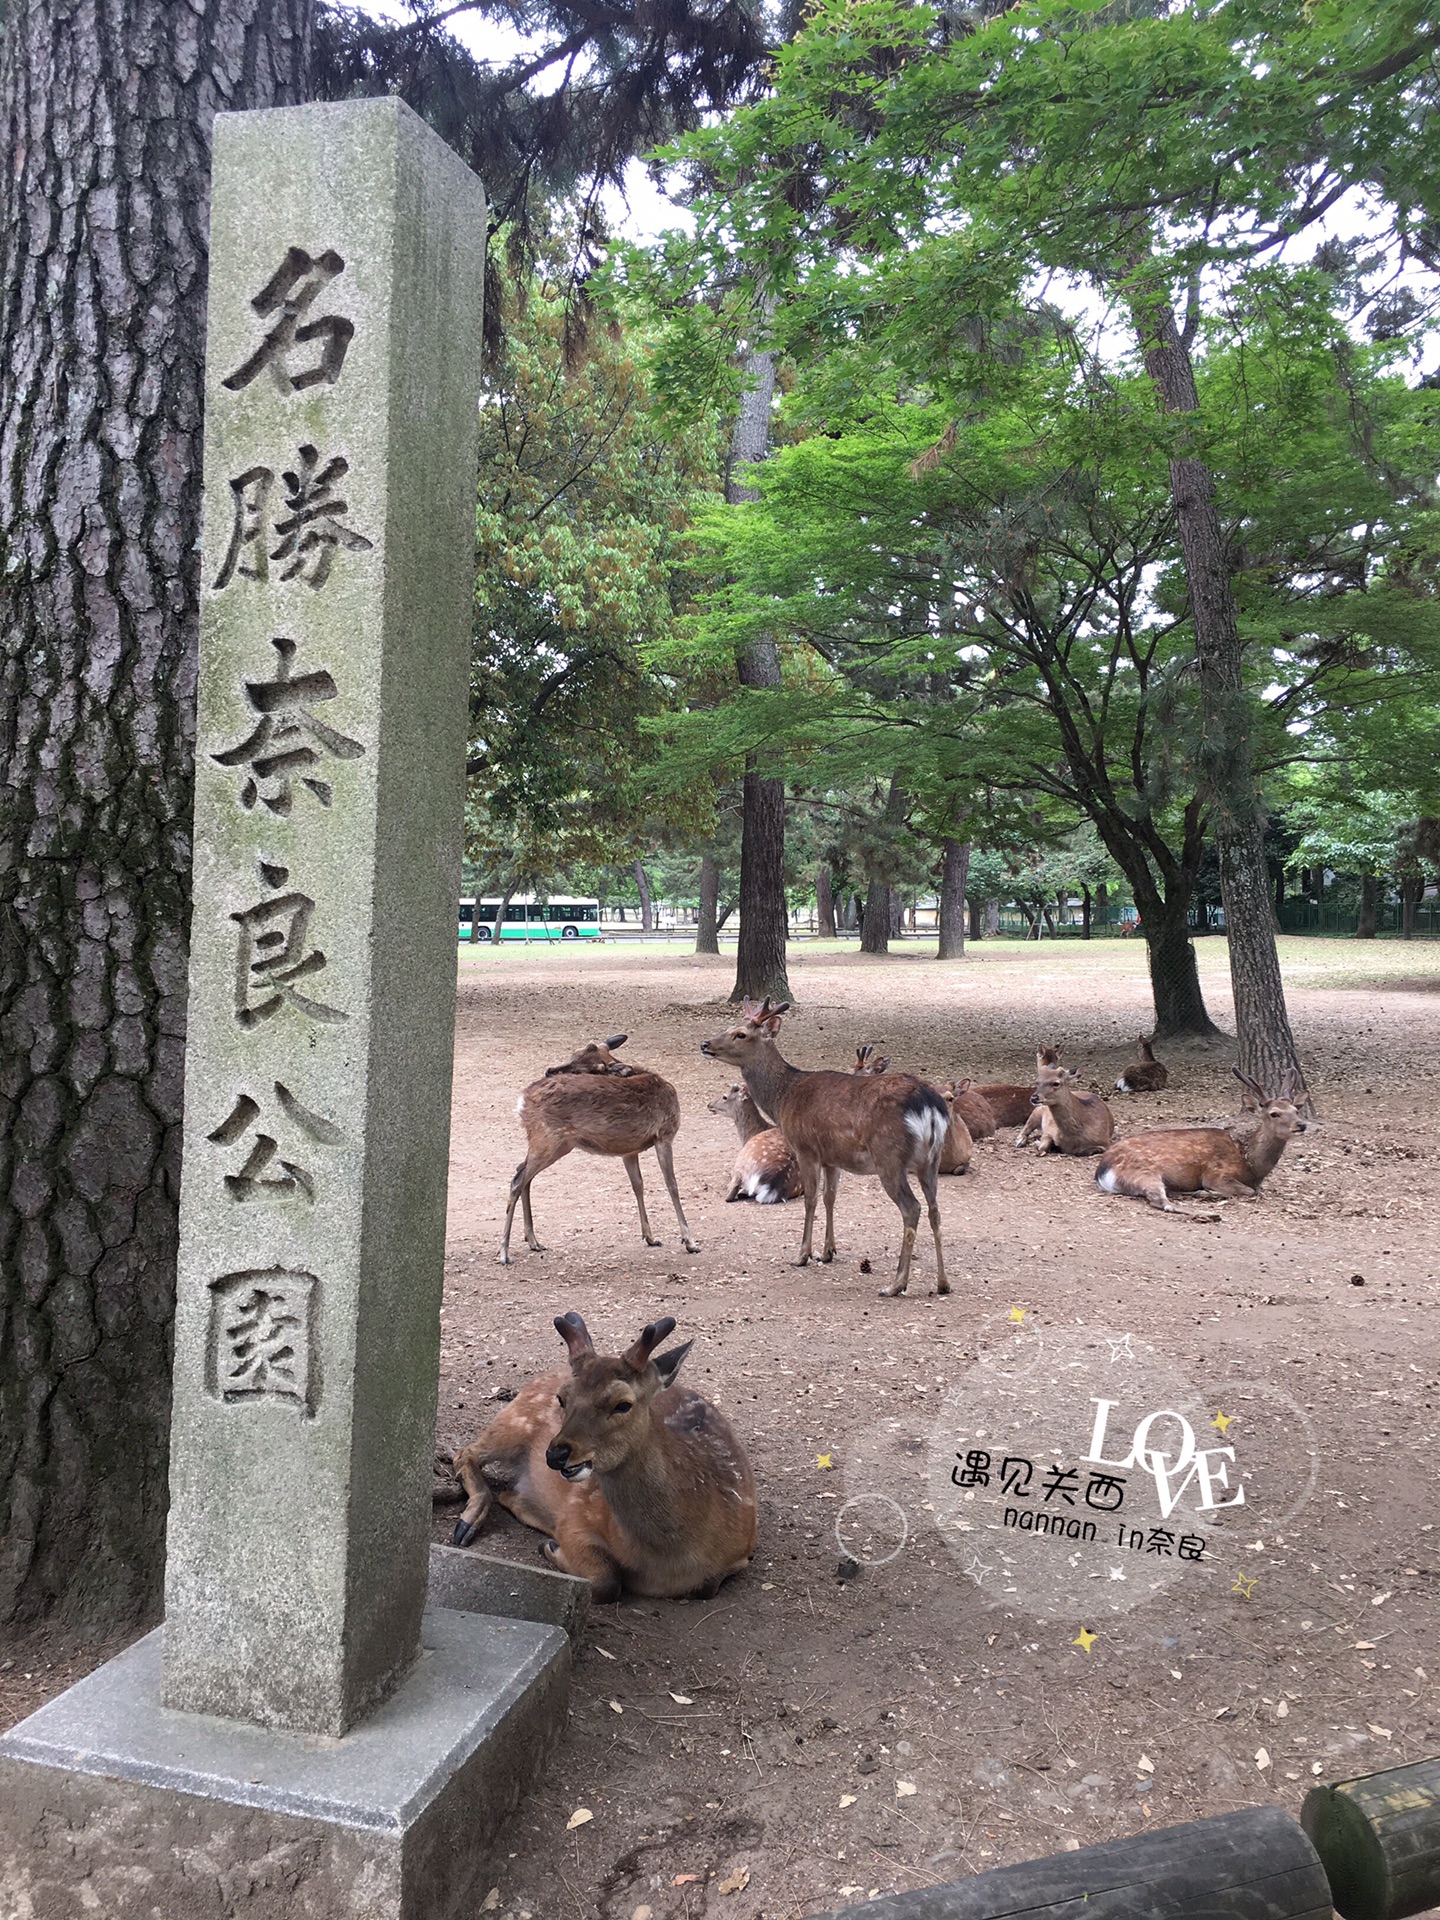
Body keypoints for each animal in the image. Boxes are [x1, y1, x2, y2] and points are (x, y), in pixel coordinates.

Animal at [449, 1305, 768, 1605]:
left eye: (622, 1404)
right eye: (562, 1398)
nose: (555, 1454)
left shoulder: (742, 1551)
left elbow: (707, 1586)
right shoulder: (576, 1517)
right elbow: (606, 1581)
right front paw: (551, 1547)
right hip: (515, 1420)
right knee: (465, 1452)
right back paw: (470, 1522)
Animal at [503, 1036, 698, 1259]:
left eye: (592, 1068)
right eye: (573, 1054)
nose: (550, 1070)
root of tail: (522, 1101)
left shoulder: (629, 1149)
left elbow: (637, 1185)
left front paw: (650, 1237)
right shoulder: (665, 1134)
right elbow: (672, 1185)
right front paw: (690, 1242)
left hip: (558, 1144)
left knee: (522, 1172)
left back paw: (533, 1241)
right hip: (546, 1138)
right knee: (518, 1180)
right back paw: (504, 1252)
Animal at [695, 998, 948, 1297]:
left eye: (740, 1034)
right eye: (729, 1027)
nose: (705, 1044)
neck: (782, 1099)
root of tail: (930, 1107)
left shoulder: (805, 1148)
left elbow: (811, 1199)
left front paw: (802, 1255)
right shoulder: (831, 1157)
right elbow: (830, 1198)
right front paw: (827, 1252)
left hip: (890, 1157)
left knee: (912, 1208)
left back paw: (896, 1284)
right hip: (930, 1160)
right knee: (935, 1209)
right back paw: (943, 1283)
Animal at [1098, 1067, 1313, 1213]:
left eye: (1296, 1110)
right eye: (1274, 1113)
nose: (1301, 1125)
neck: (1251, 1167)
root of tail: (1102, 1171)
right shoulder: (1216, 1173)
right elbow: (1249, 1191)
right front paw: (1204, 1192)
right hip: (1143, 1171)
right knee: (1162, 1202)